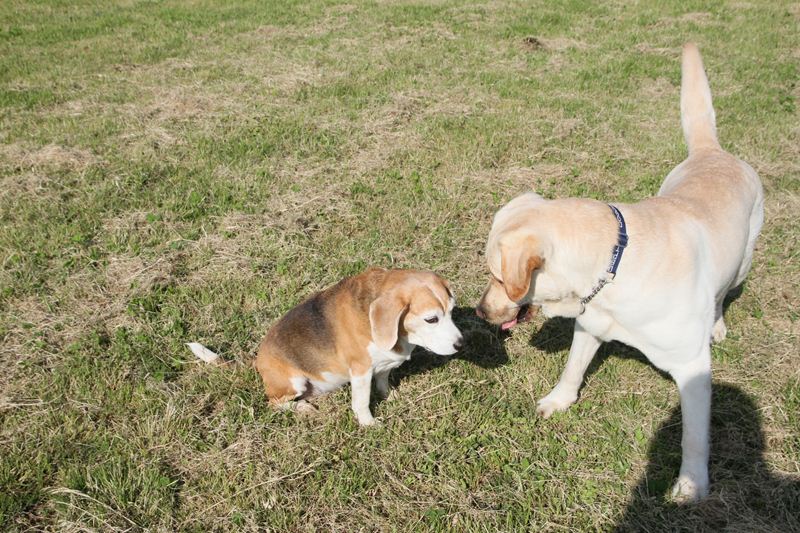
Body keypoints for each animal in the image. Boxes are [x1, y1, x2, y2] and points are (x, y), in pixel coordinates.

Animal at [253, 267, 463, 426]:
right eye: (431, 319)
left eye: (452, 311)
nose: (461, 344)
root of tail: (259, 359)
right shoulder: (361, 370)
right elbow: (361, 402)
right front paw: (369, 424)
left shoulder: (384, 364)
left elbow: (382, 381)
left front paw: (389, 395)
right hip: (294, 382)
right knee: (274, 403)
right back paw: (302, 407)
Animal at [476, 44, 764, 501]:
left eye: (500, 278)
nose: (480, 312)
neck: (613, 269)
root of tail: (711, 152)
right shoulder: (590, 325)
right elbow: (572, 368)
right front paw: (558, 401)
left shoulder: (693, 368)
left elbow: (694, 437)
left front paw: (691, 485)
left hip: (742, 262)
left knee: (722, 295)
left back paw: (717, 323)